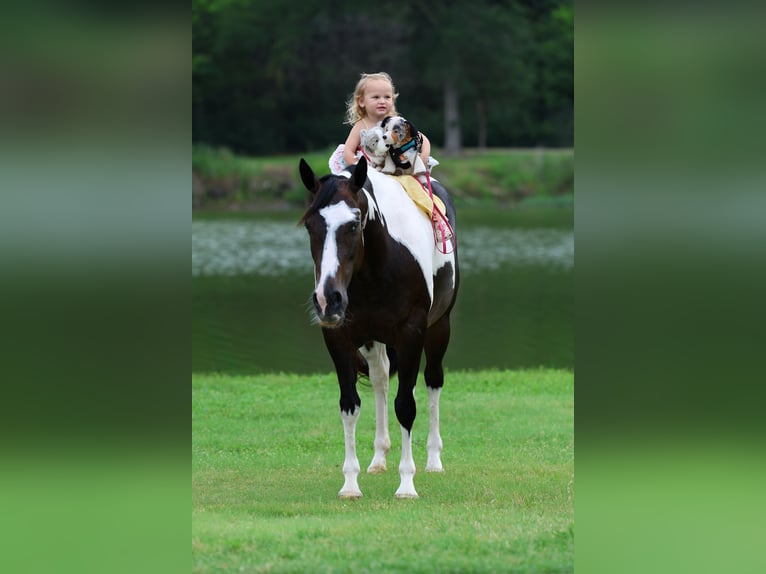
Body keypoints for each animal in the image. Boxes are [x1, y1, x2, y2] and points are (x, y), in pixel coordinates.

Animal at [298, 156, 459, 498]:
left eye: (354, 224)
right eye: (310, 226)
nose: (327, 299)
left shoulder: (412, 334)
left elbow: (406, 406)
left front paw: (407, 484)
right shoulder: (339, 338)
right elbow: (350, 405)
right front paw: (350, 483)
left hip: (440, 326)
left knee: (433, 381)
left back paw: (433, 460)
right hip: (374, 340)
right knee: (381, 379)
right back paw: (379, 457)